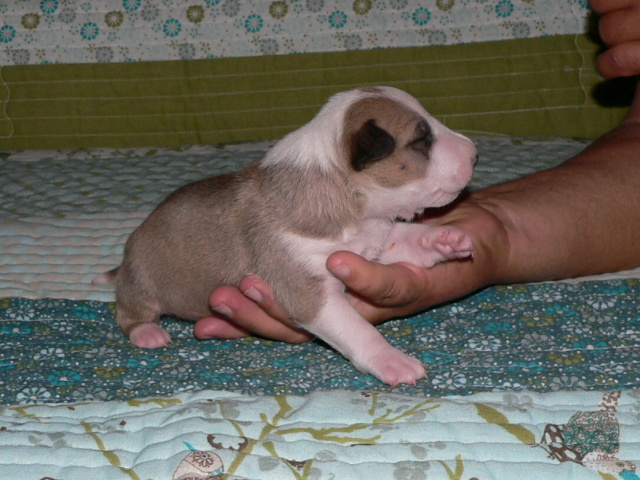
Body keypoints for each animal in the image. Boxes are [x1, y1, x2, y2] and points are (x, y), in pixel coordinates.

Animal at [95, 86, 477, 386]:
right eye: (421, 141)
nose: (474, 154)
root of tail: (124, 263)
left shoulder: (377, 239)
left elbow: (406, 236)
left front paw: (443, 239)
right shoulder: (310, 291)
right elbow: (359, 329)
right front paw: (392, 361)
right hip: (143, 281)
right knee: (128, 314)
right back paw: (148, 332)